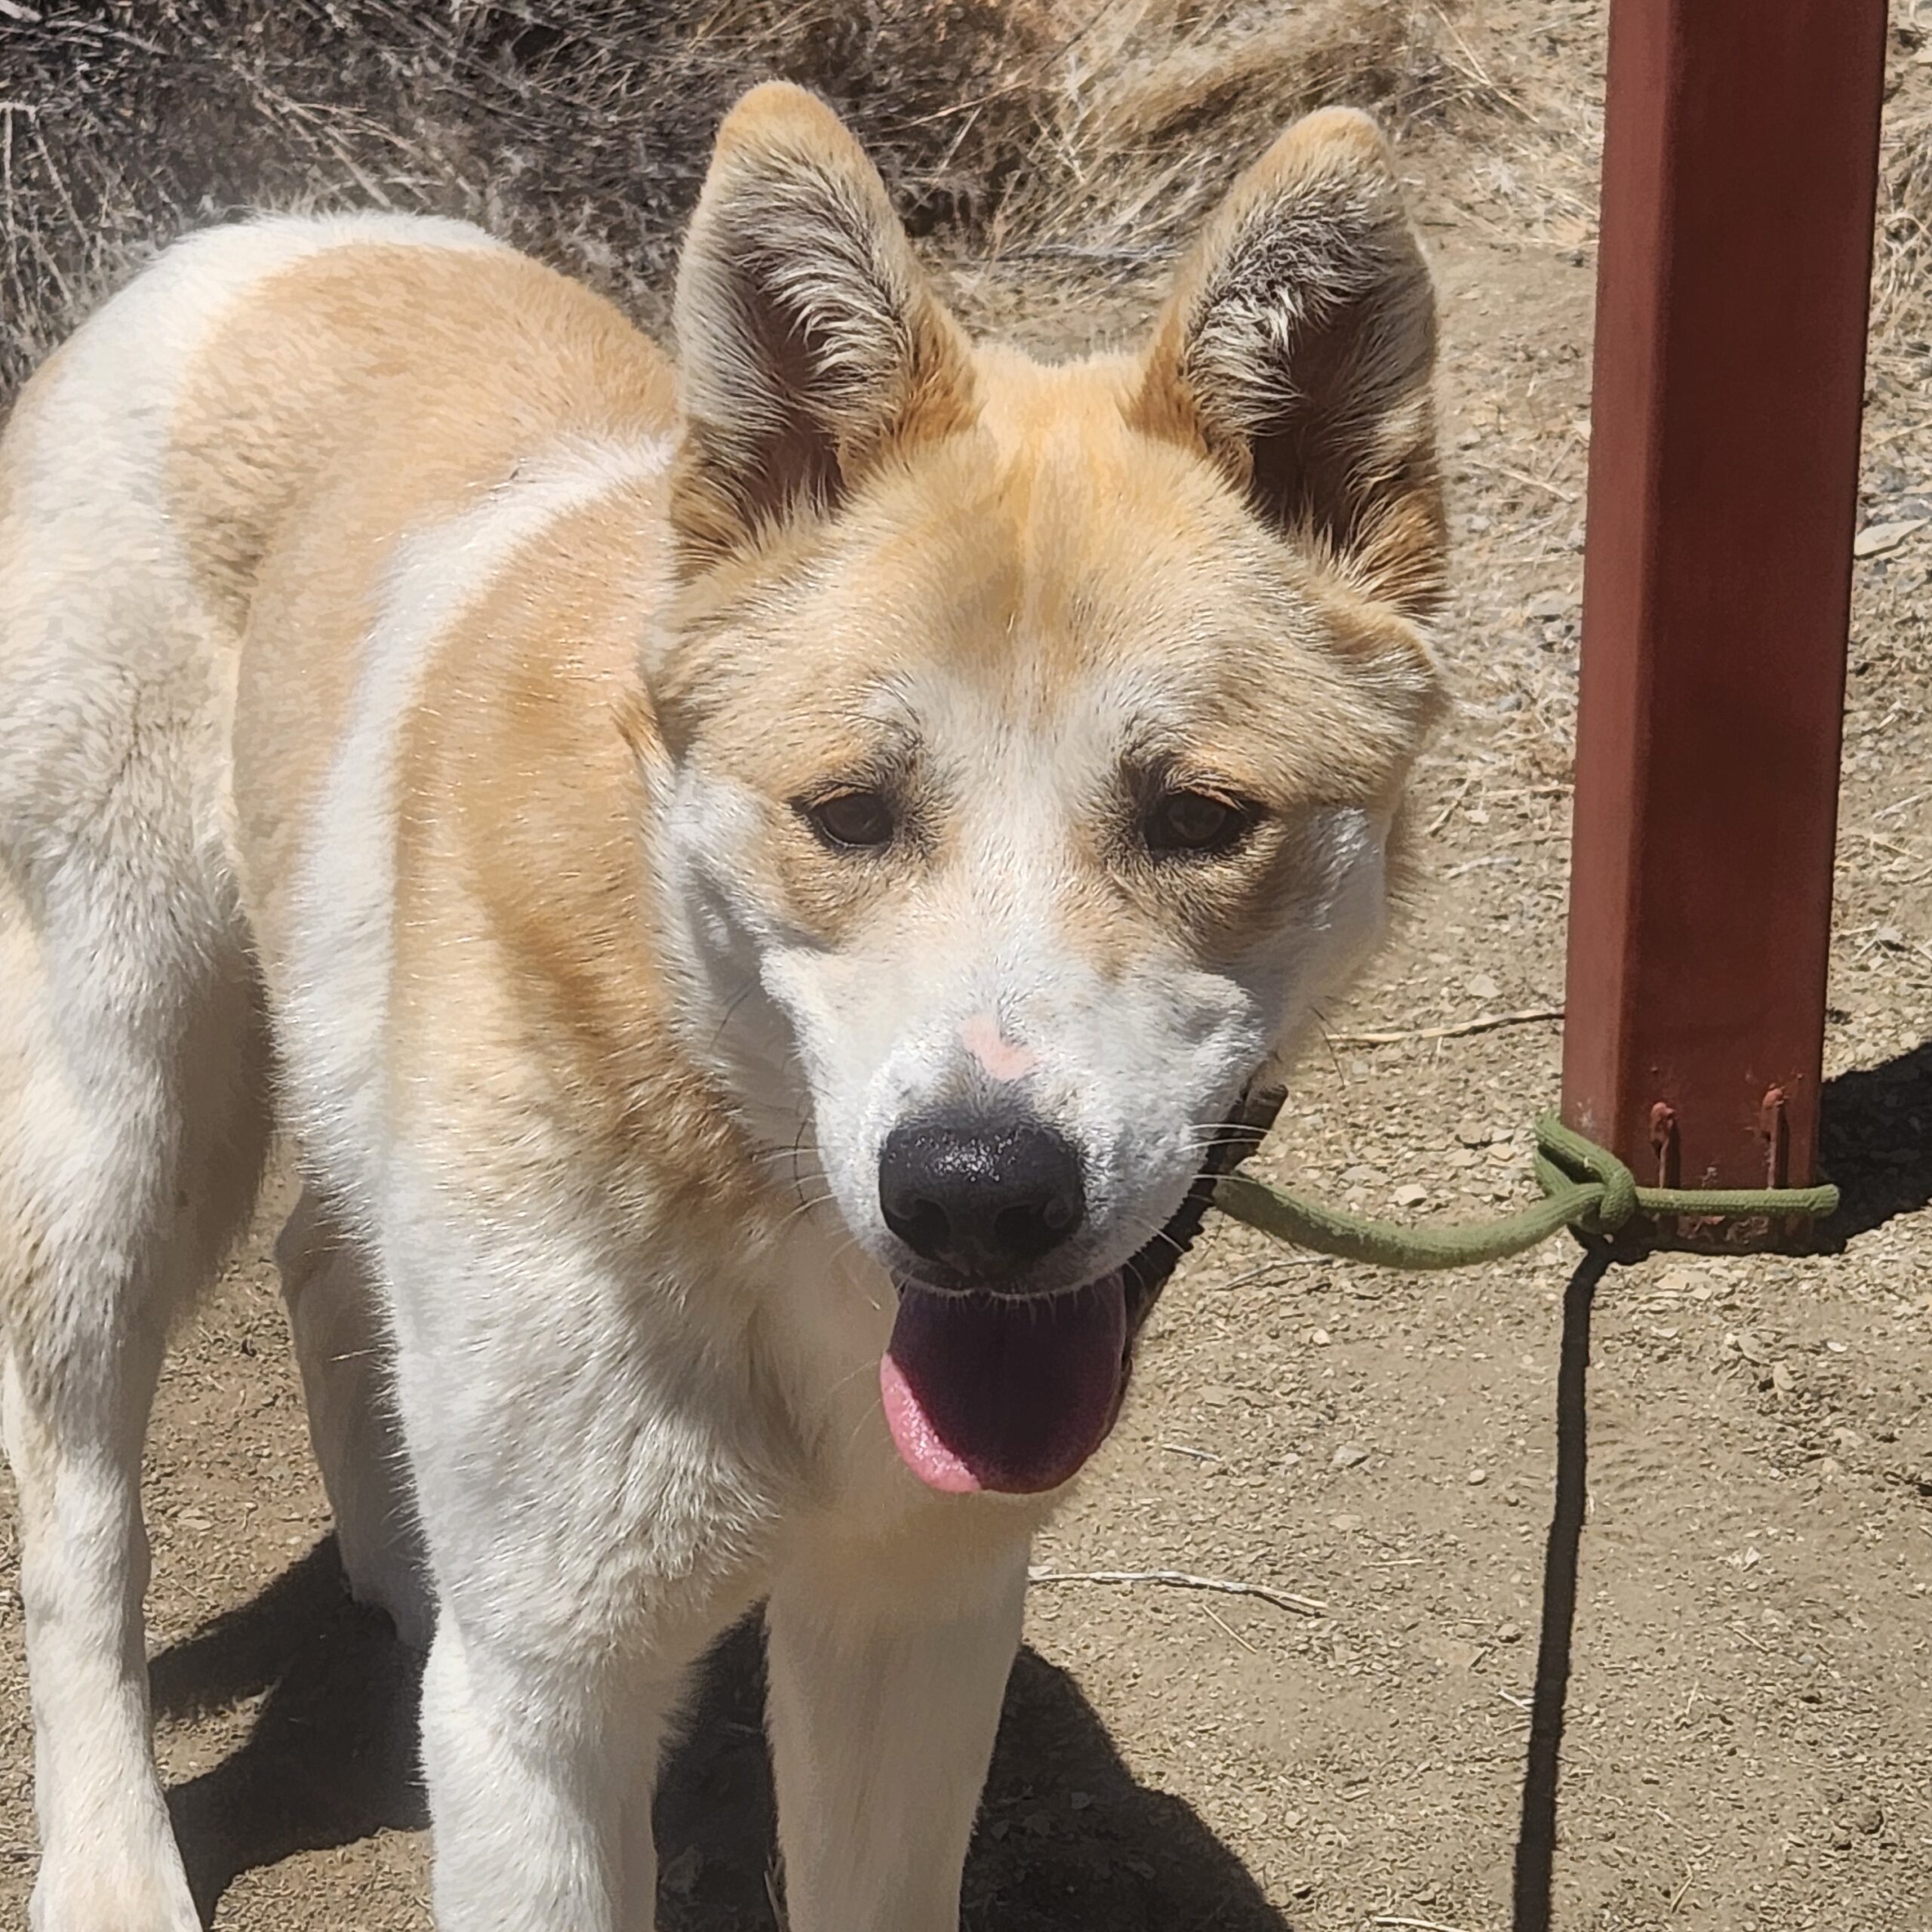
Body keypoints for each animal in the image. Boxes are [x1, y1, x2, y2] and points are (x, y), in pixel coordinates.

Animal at [0, 78, 1444, 1932]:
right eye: (848, 813)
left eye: (1196, 818)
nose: (978, 1198)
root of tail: (245, 242)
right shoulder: (546, 1711)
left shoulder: (910, 1627)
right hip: (127, 1111)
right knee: (81, 1506)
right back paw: (111, 1861)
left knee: (329, 1269)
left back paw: (402, 1559)